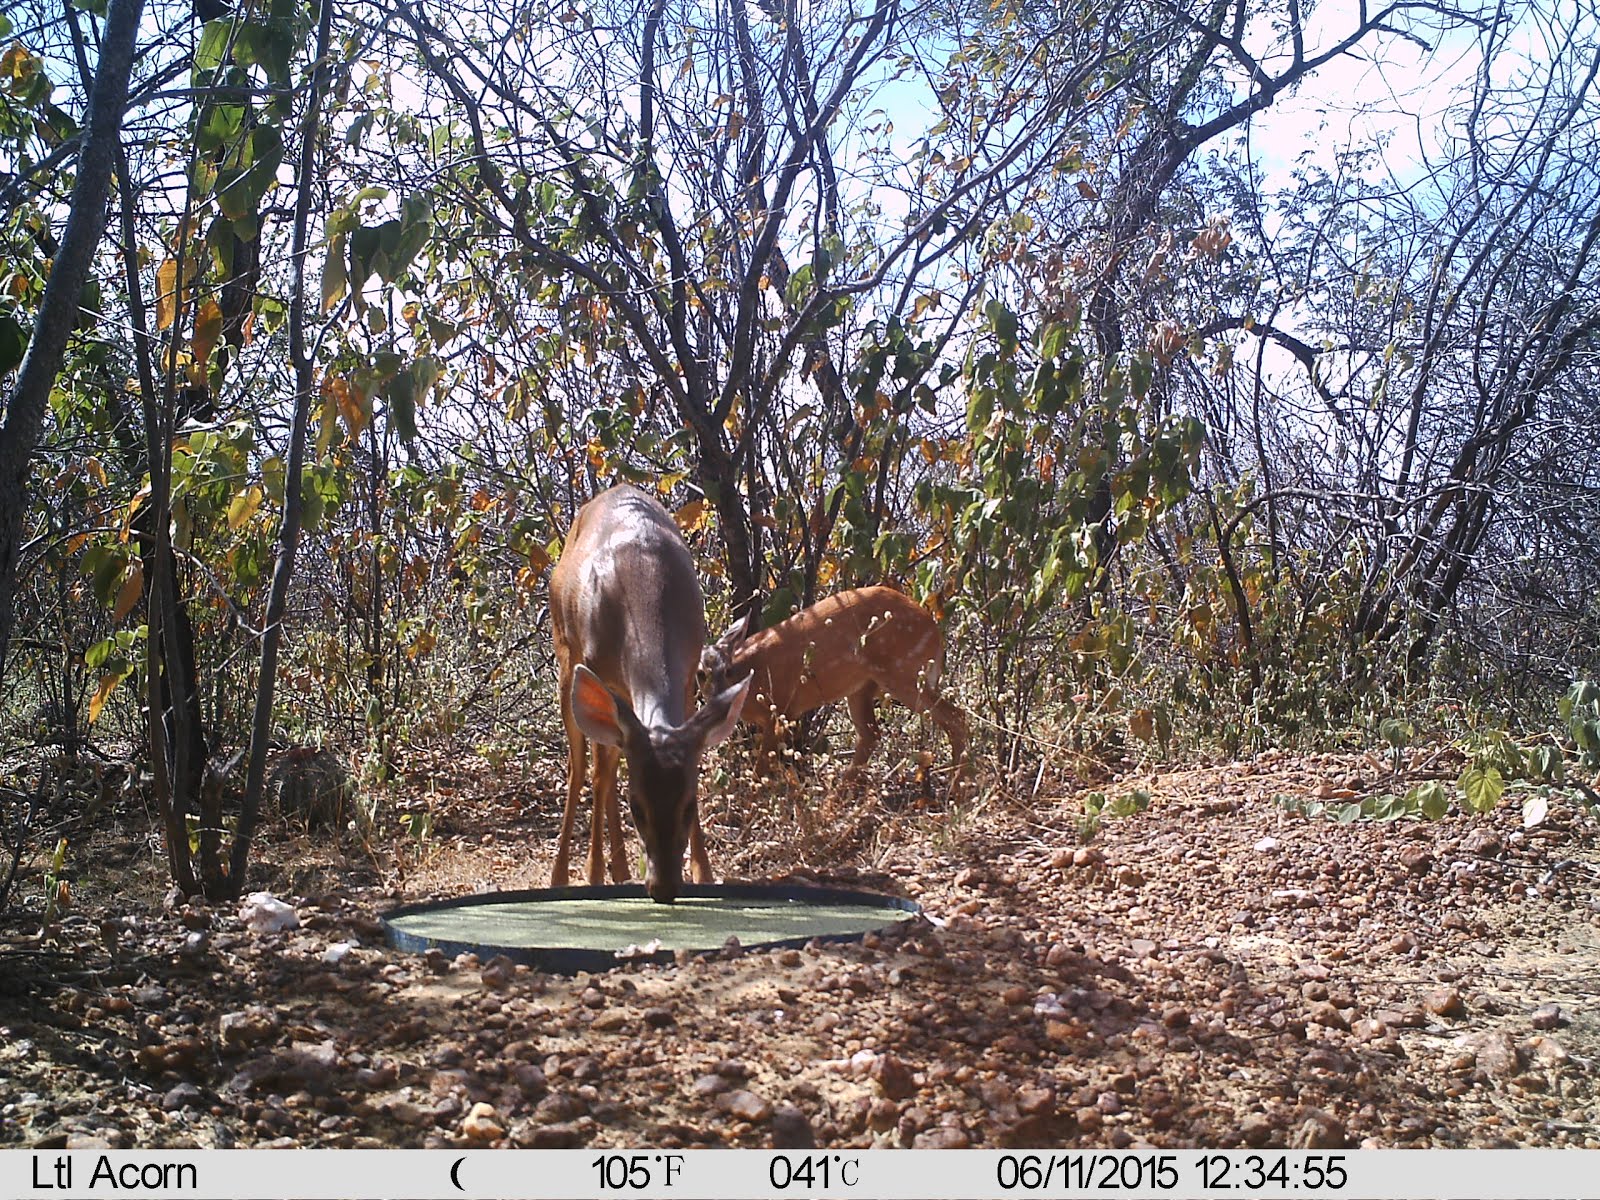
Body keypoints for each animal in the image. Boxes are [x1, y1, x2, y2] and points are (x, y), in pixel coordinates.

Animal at [547, 483, 752, 908]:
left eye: (689, 805)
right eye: (637, 808)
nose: (664, 888)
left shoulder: (689, 676)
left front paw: (704, 872)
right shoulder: (597, 668)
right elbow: (601, 773)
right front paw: (592, 874)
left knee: (607, 760)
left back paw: (621, 868)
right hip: (565, 655)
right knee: (583, 768)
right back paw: (565, 874)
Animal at [707, 585, 966, 790]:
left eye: (727, 671)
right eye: (702, 674)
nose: (717, 701)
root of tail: (936, 635)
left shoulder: (779, 709)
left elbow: (762, 766)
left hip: (902, 673)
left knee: (955, 716)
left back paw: (958, 790)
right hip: (863, 685)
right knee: (871, 733)